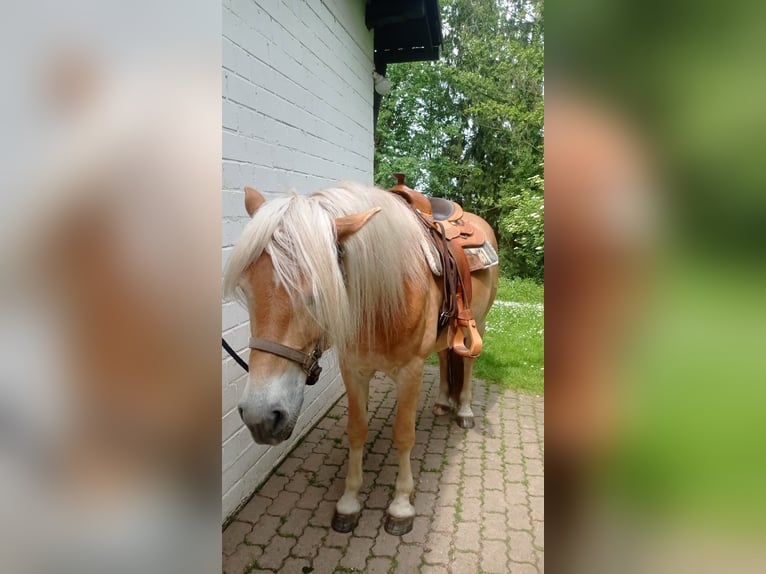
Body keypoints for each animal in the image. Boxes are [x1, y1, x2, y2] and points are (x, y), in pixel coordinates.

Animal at [224, 182, 498, 536]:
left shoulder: (410, 371)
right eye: (246, 290)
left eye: (321, 293)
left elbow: (403, 434)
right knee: (444, 357)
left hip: (479, 322)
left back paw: (463, 410)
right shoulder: (353, 369)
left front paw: (401, 506)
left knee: (467, 363)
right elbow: (356, 430)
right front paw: (349, 501)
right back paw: (441, 403)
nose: (260, 417)